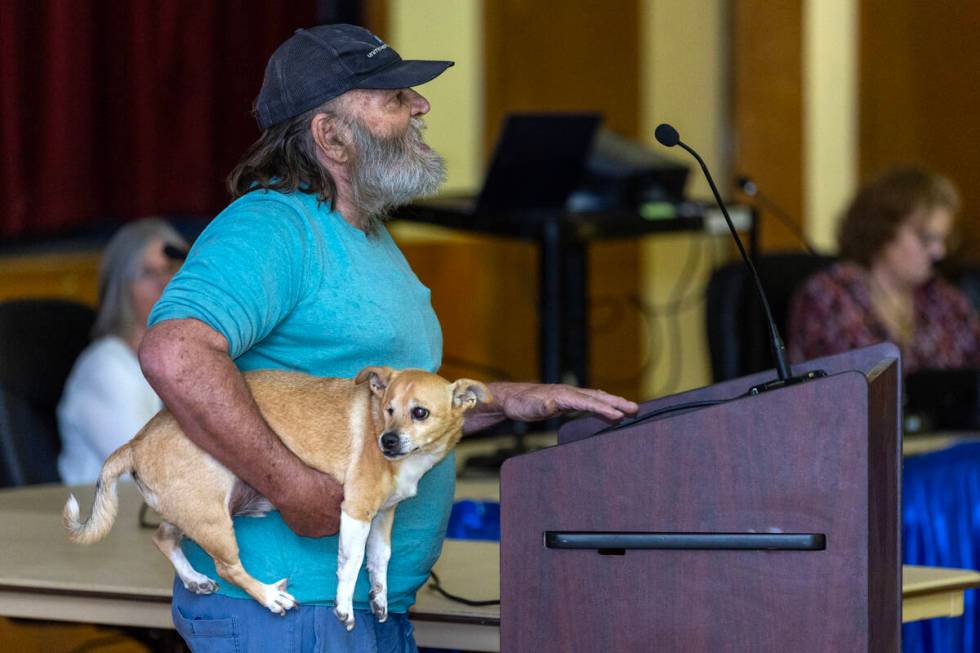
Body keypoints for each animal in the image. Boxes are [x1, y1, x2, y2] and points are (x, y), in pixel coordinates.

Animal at [62, 364, 490, 628]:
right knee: (228, 568)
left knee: (162, 536)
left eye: (419, 413)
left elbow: (379, 561)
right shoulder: (356, 512)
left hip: (197, 510)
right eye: (387, 410)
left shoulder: (383, 517)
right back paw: (269, 597)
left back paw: (194, 578)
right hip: (213, 518)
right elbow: (350, 565)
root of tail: (135, 442)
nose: (386, 441)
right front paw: (344, 606)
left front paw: (380, 599)